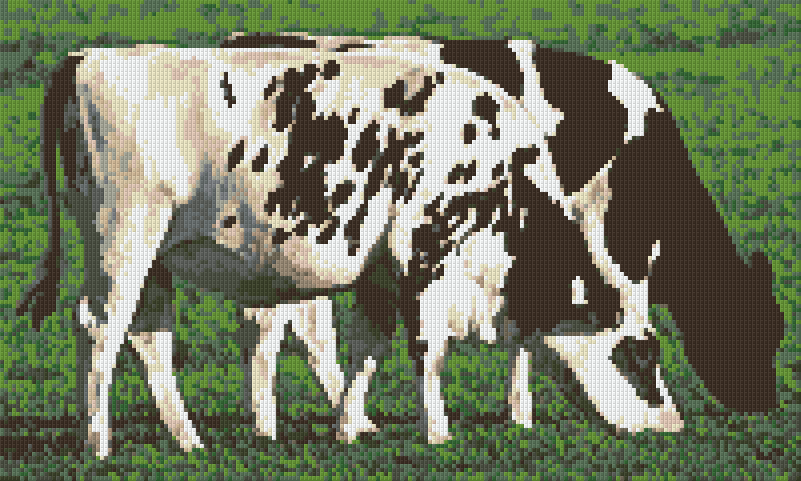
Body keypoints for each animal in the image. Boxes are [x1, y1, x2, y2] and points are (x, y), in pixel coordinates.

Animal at [16, 33, 784, 457]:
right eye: (642, 355)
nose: (673, 424)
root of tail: (89, 56)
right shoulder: (423, 250)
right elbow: (427, 347)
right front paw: (438, 429)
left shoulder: (381, 268)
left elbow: (369, 344)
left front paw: (350, 425)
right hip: (123, 235)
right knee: (99, 327)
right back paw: (97, 442)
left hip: (156, 257)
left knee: (149, 338)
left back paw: (188, 438)